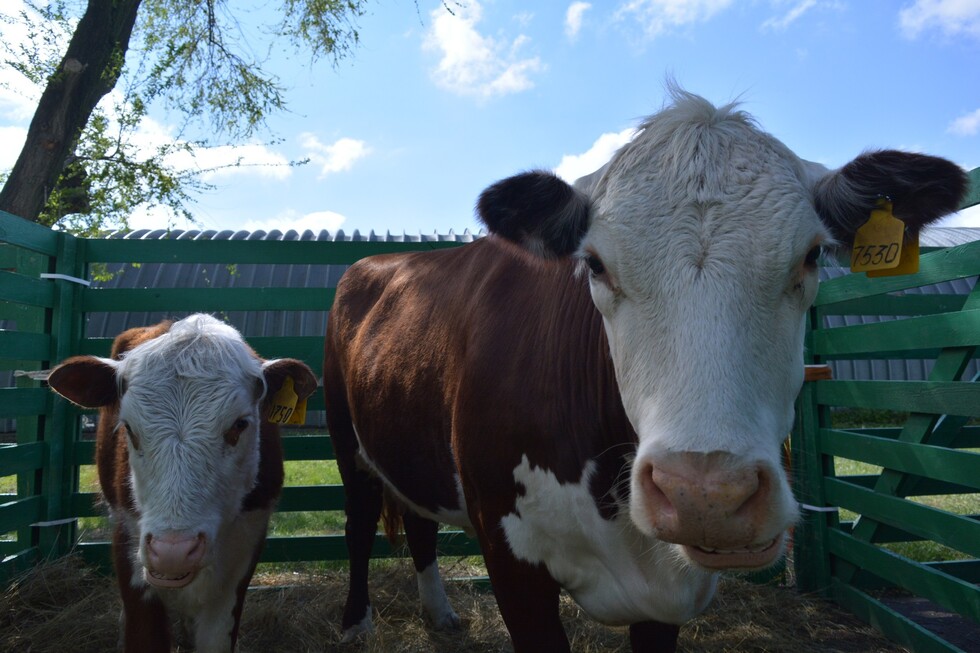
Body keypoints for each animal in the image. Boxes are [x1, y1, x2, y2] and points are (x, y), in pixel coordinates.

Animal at [324, 89, 964, 648]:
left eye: (811, 256)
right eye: (595, 264)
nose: (706, 494)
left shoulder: (666, 602)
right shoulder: (511, 562)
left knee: (420, 522)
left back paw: (439, 613)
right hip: (346, 438)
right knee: (359, 525)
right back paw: (355, 623)